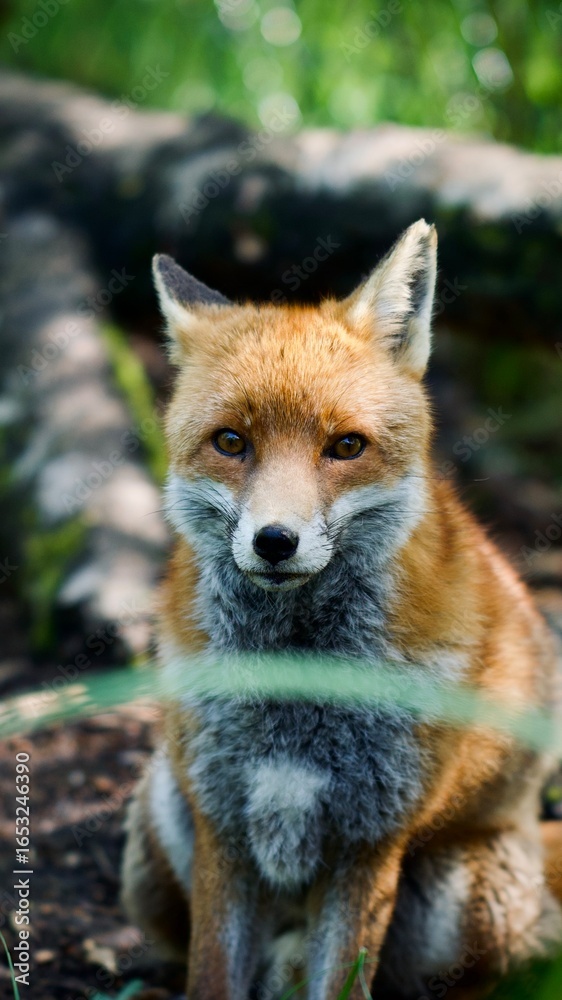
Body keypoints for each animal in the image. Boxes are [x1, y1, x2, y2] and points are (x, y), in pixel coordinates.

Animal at [121, 219, 562, 1000]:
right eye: (231, 441)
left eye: (346, 446)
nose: (274, 541)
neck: (296, 683)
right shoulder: (222, 824)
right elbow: (211, 976)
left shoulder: (369, 840)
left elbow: (341, 979)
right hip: (160, 811)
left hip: (455, 902)